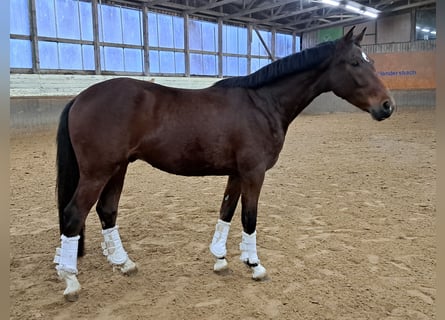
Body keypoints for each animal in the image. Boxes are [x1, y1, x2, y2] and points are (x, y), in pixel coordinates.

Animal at [53, 26, 394, 300]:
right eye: (354, 63)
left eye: (372, 62)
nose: (387, 106)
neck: (262, 104)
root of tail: (80, 98)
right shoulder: (254, 173)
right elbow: (249, 217)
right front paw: (254, 265)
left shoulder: (237, 174)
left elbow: (226, 212)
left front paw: (220, 259)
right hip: (98, 172)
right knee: (74, 214)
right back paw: (70, 282)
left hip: (118, 168)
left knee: (106, 211)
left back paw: (123, 264)